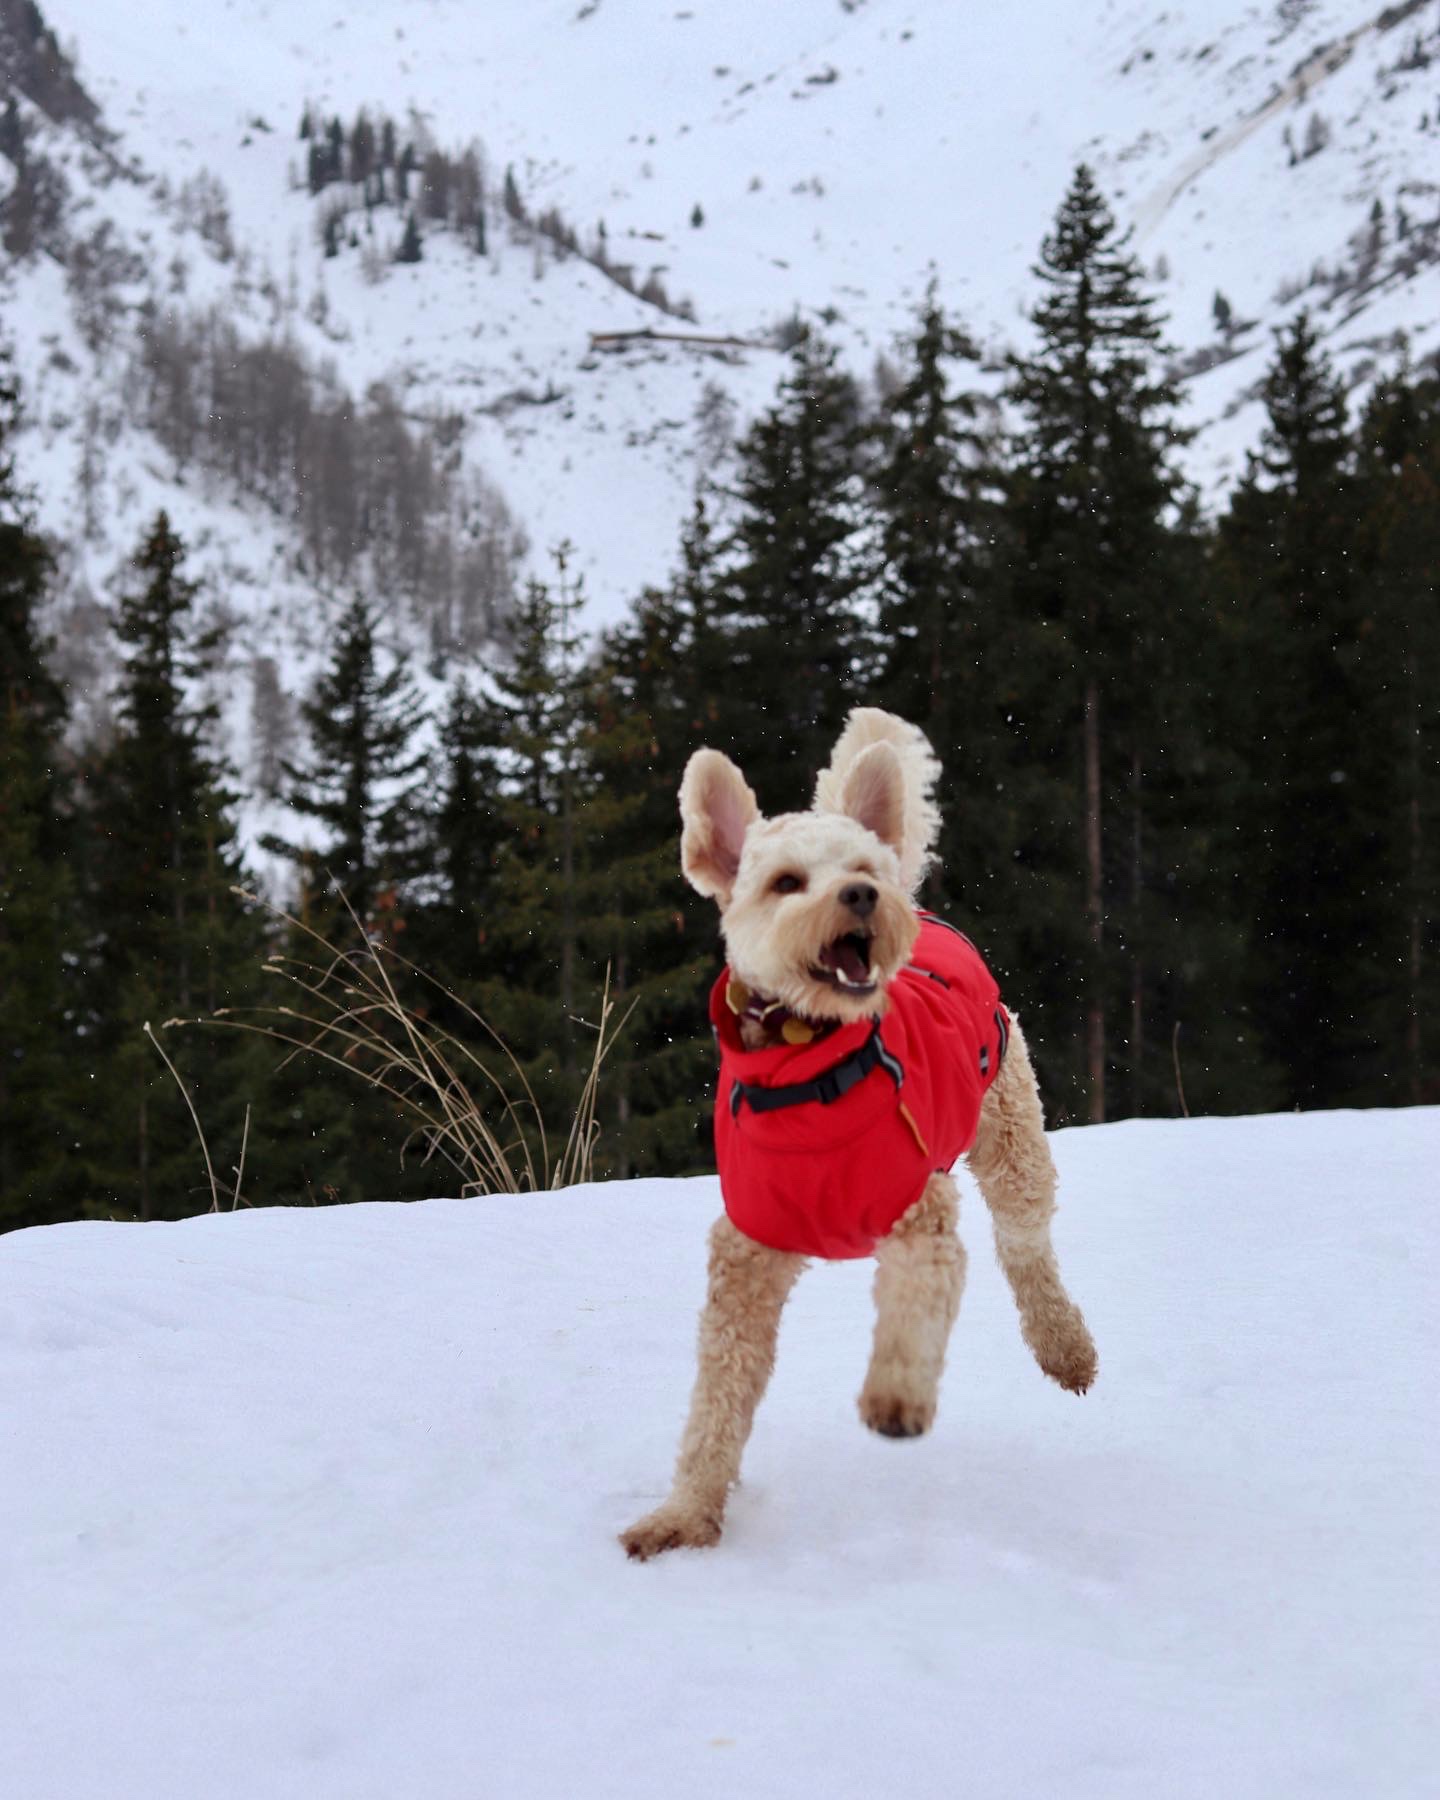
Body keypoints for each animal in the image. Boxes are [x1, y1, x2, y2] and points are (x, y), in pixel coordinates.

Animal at [622, 709, 1101, 1555]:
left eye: (859, 866)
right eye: (785, 882)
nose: (863, 894)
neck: (810, 1078)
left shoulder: (919, 1215)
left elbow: (914, 1311)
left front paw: (894, 1400)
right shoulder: (746, 1255)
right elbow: (717, 1397)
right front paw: (684, 1515)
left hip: (1012, 1131)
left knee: (1026, 1245)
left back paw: (1064, 1345)